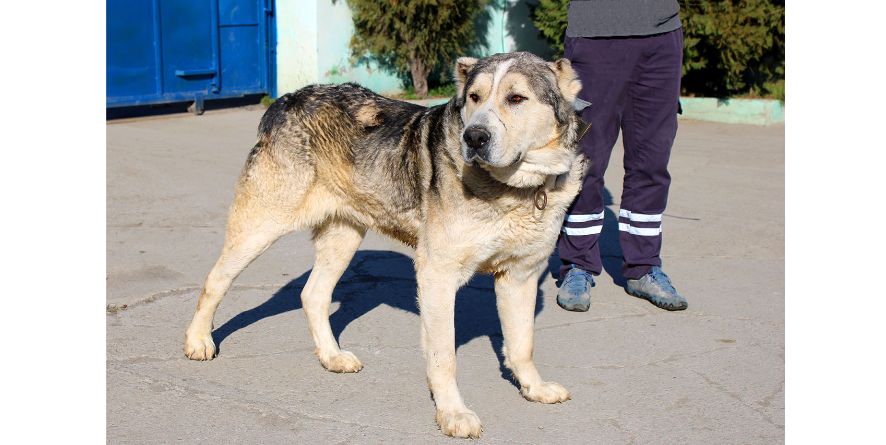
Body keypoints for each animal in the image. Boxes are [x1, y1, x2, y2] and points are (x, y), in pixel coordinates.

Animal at [183, 52, 588, 438]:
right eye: (474, 97)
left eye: (516, 98)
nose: (473, 138)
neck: (518, 188)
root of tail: (286, 99)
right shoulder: (437, 275)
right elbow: (444, 355)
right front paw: (453, 414)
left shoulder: (521, 276)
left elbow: (522, 344)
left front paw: (533, 388)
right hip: (261, 224)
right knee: (215, 280)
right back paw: (198, 340)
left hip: (343, 237)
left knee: (313, 295)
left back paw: (331, 356)